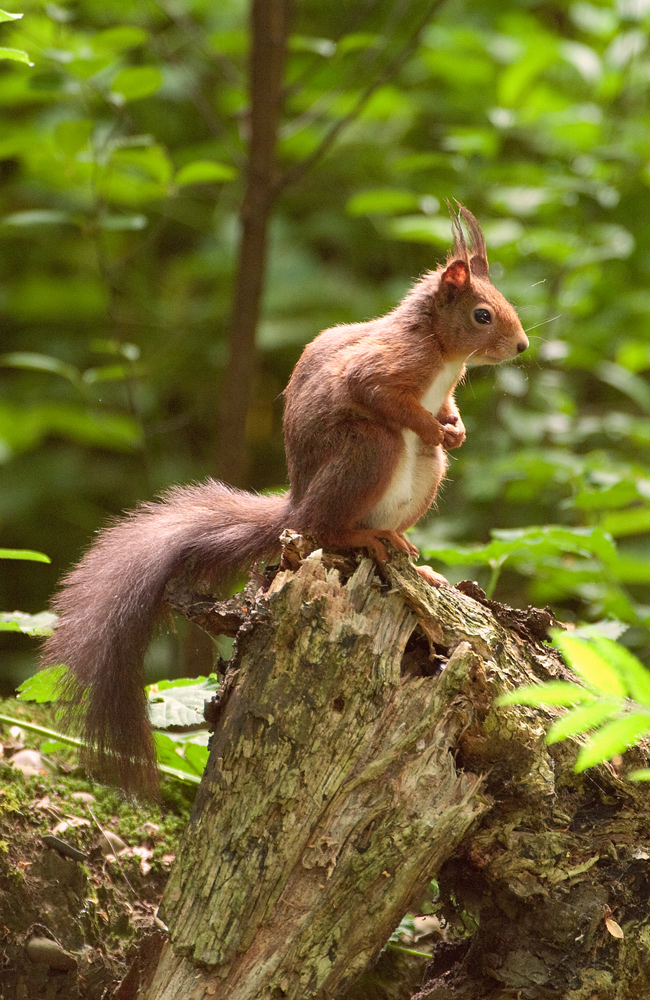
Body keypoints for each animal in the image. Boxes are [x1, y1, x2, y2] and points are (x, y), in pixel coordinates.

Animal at [40, 207, 528, 792]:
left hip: (423, 476)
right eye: (482, 315)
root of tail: (295, 506)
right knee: (329, 527)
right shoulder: (382, 370)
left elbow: (449, 407)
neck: (440, 350)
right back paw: (368, 535)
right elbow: (380, 395)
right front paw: (434, 426)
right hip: (369, 451)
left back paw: (413, 557)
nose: (522, 346)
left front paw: (455, 428)